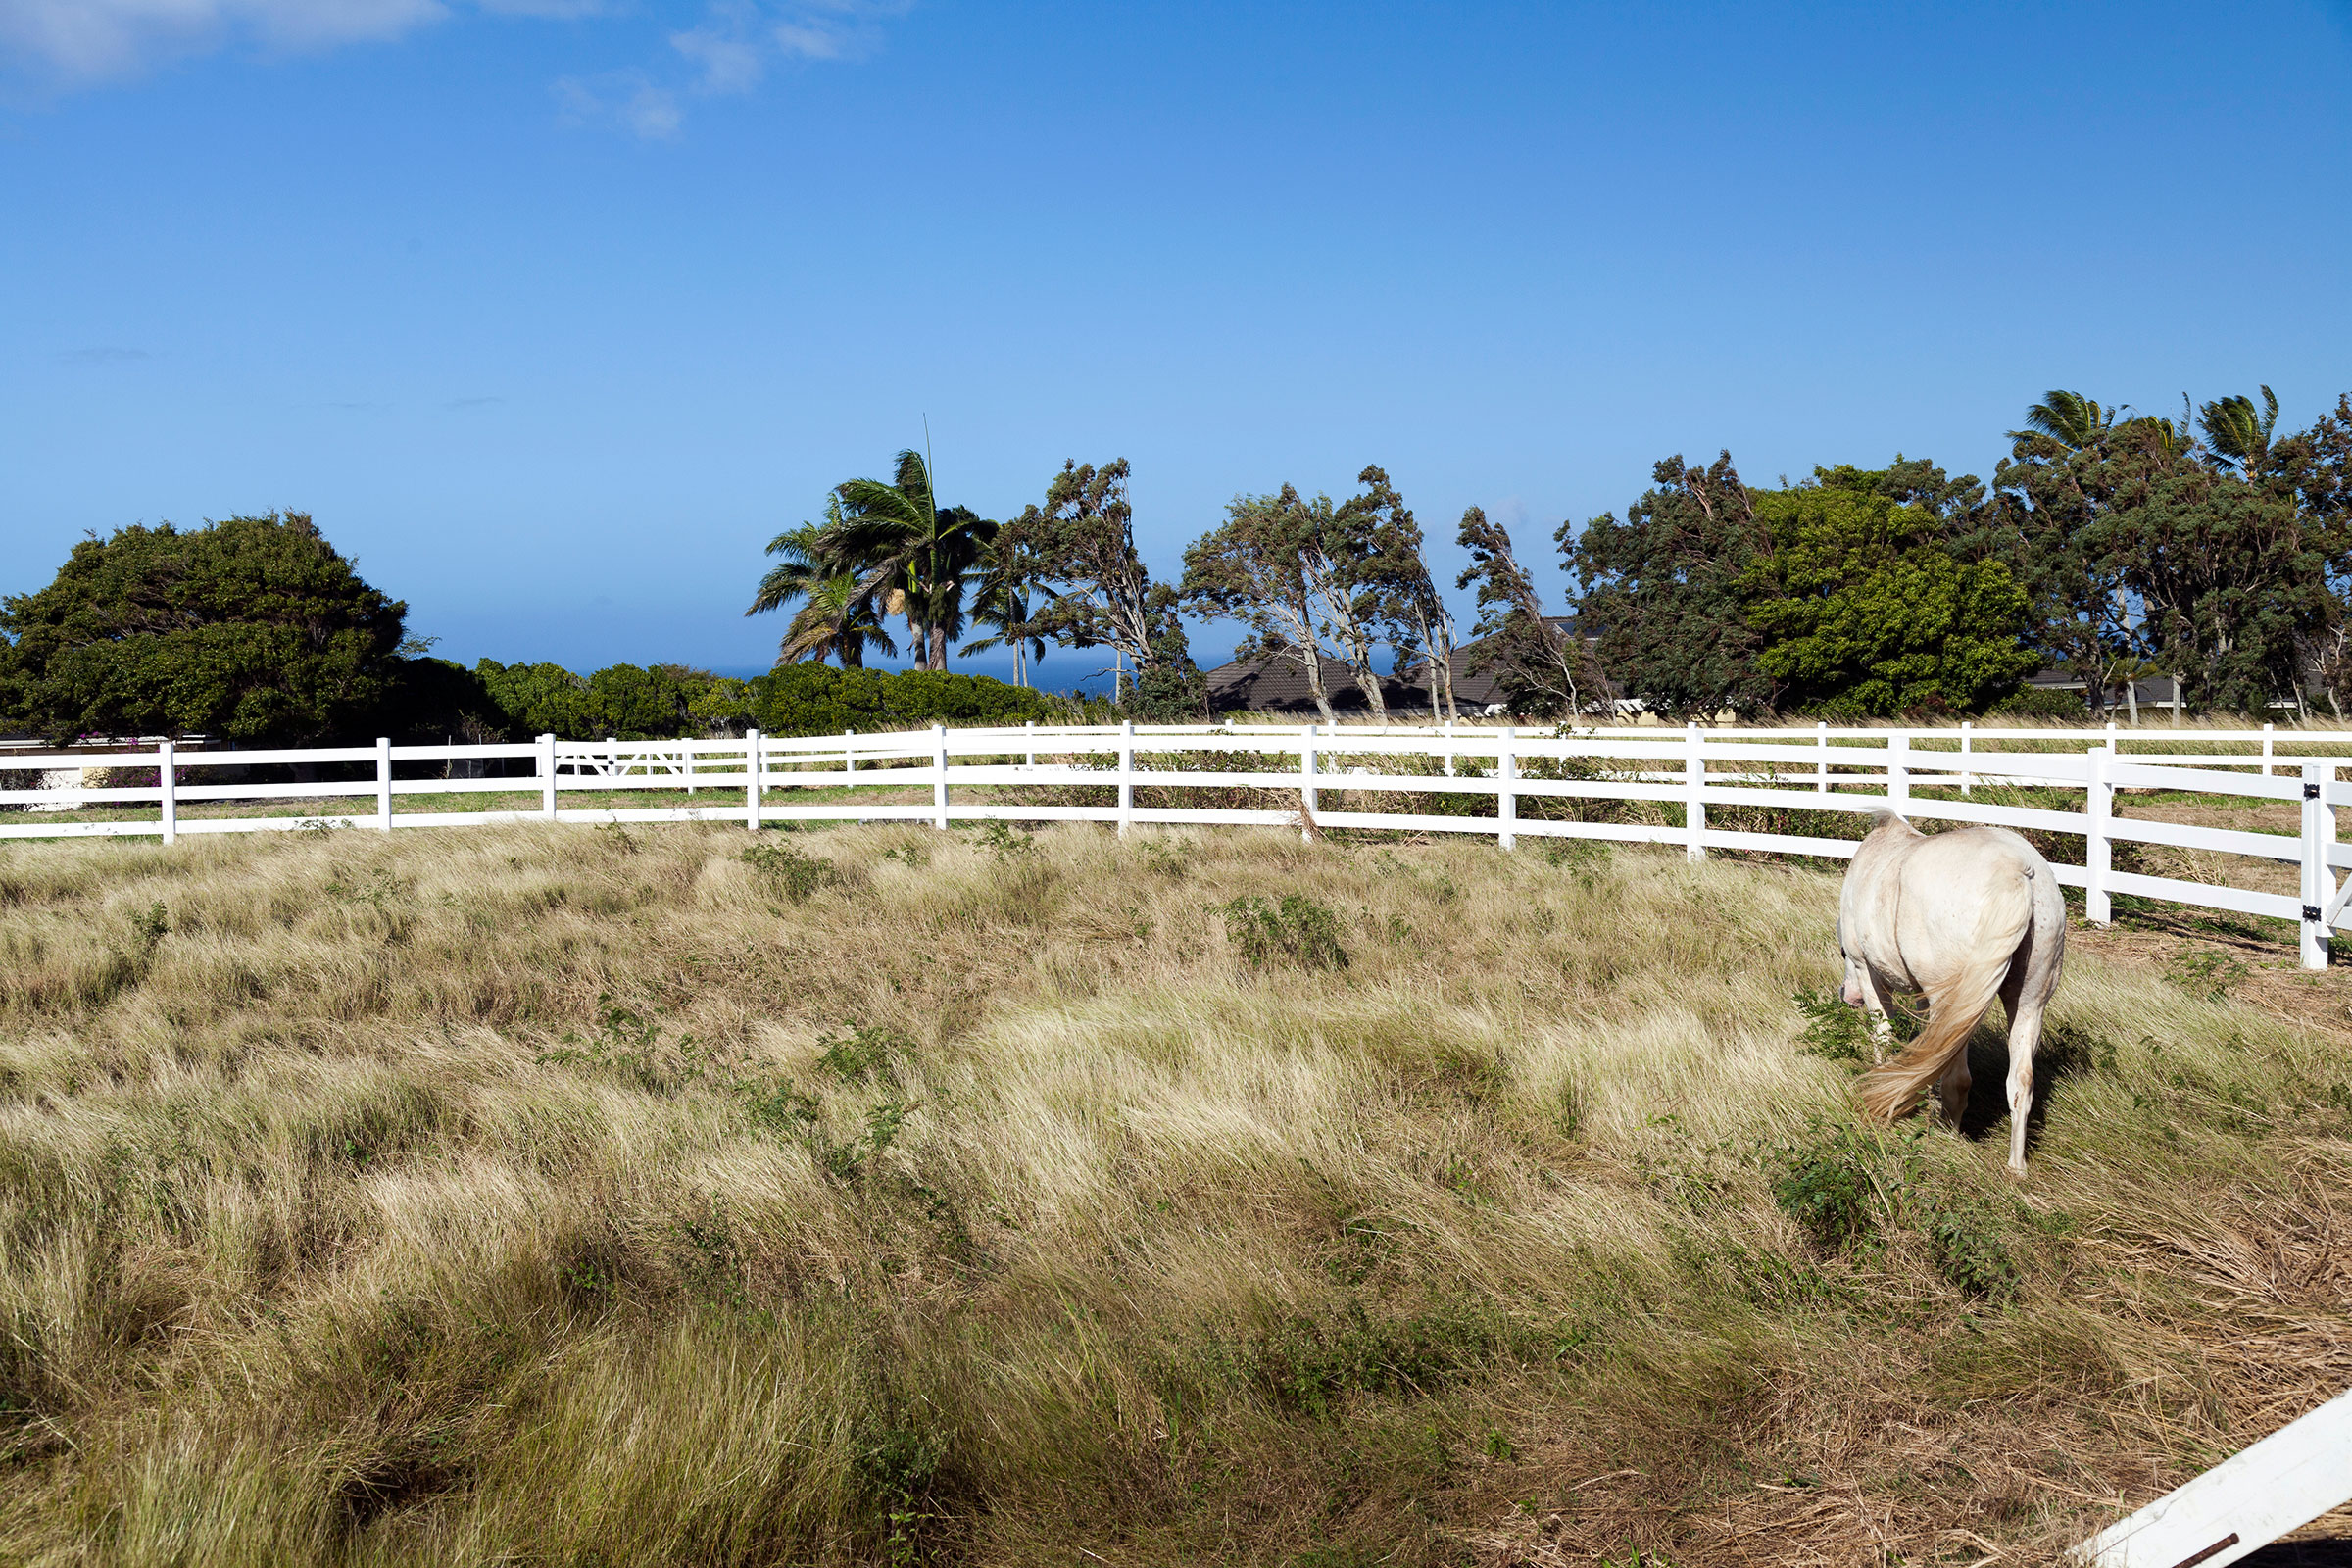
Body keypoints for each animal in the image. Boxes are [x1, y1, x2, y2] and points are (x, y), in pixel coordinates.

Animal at [1838, 809, 2067, 1177]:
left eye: (1843, 952)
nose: (1848, 995)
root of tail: (2015, 868)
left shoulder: (1866, 970)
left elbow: (1882, 1035)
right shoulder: (1924, 996)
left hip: (1954, 1004)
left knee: (1957, 1079)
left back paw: (1948, 1137)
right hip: (2030, 1002)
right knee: (2021, 1080)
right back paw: (2016, 1167)